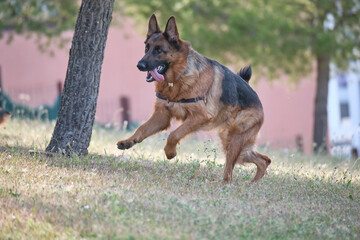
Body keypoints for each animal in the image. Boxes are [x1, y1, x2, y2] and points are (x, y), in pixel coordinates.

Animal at [116, 14, 272, 184]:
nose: (140, 65)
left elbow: (174, 134)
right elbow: (142, 128)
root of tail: (256, 97)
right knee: (264, 160)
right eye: (146, 48)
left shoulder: (198, 117)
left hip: (234, 143)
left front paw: (170, 152)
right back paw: (253, 184)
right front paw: (129, 141)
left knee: (231, 169)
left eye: (159, 50)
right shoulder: (161, 116)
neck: (178, 77)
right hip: (233, 142)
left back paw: (226, 185)